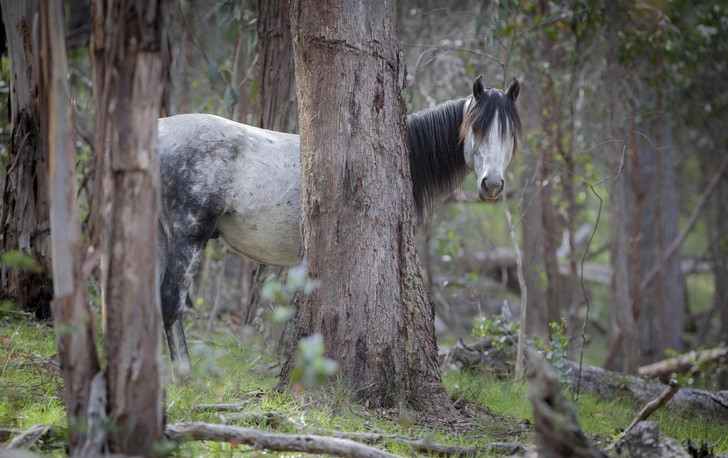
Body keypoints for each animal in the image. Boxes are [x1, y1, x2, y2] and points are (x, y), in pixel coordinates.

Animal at [159, 76, 524, 376]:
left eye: (509, 134)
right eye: (476, 129)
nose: (492, 185)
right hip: (188, 237)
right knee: (171, 302)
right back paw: (185, 376)